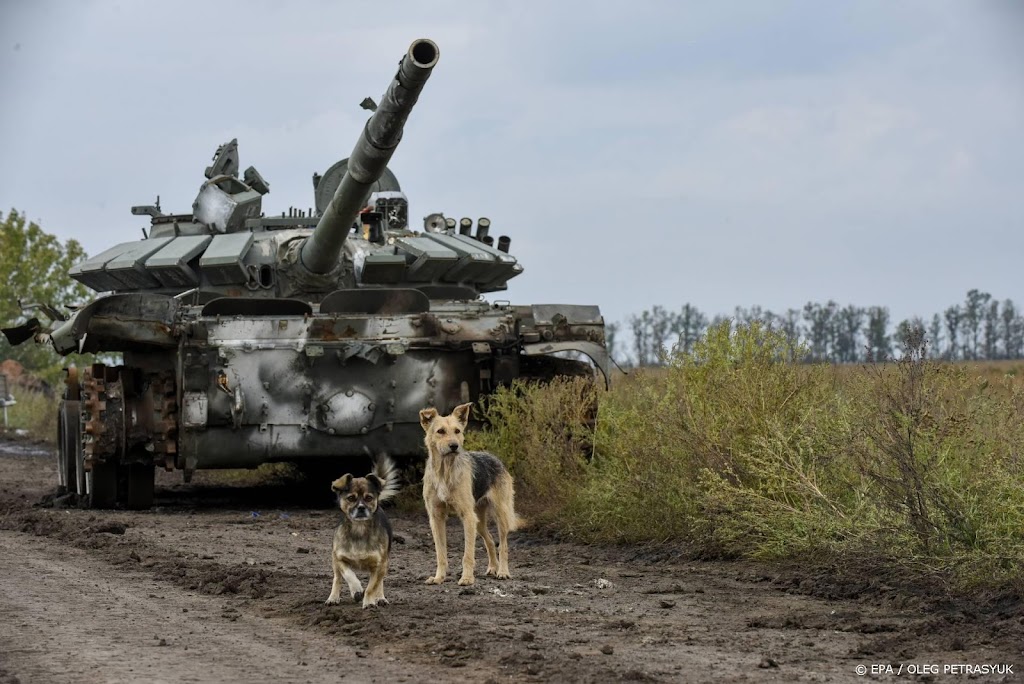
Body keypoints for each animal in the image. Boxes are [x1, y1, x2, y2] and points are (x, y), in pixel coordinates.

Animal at [325, 454, 397, 610]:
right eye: (351, 498)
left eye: (369, 498)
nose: (361, 508)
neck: (359, 529)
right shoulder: (339, 558)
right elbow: (348, 574)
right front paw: (356, 590)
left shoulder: (379, 565)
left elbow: (372, 586)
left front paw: (369, 601)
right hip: (335, 564)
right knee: (337, 578)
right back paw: (333, 597)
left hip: (385, 563)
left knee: (380, 582)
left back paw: (380, 598)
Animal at [419, 403, 520, 585]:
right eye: (440, 431)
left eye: (457, 431)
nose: (454, 446)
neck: (445, 471)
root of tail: (494, 457)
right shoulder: (436, 518)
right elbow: (441, 554)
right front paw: (438, 578)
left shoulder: (467, 516)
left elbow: (467, 554)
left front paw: (466, 578)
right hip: (478, 521)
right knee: (490, 541)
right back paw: (493, 568)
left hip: (499, 514)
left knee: (503, 546)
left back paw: (503, 572)